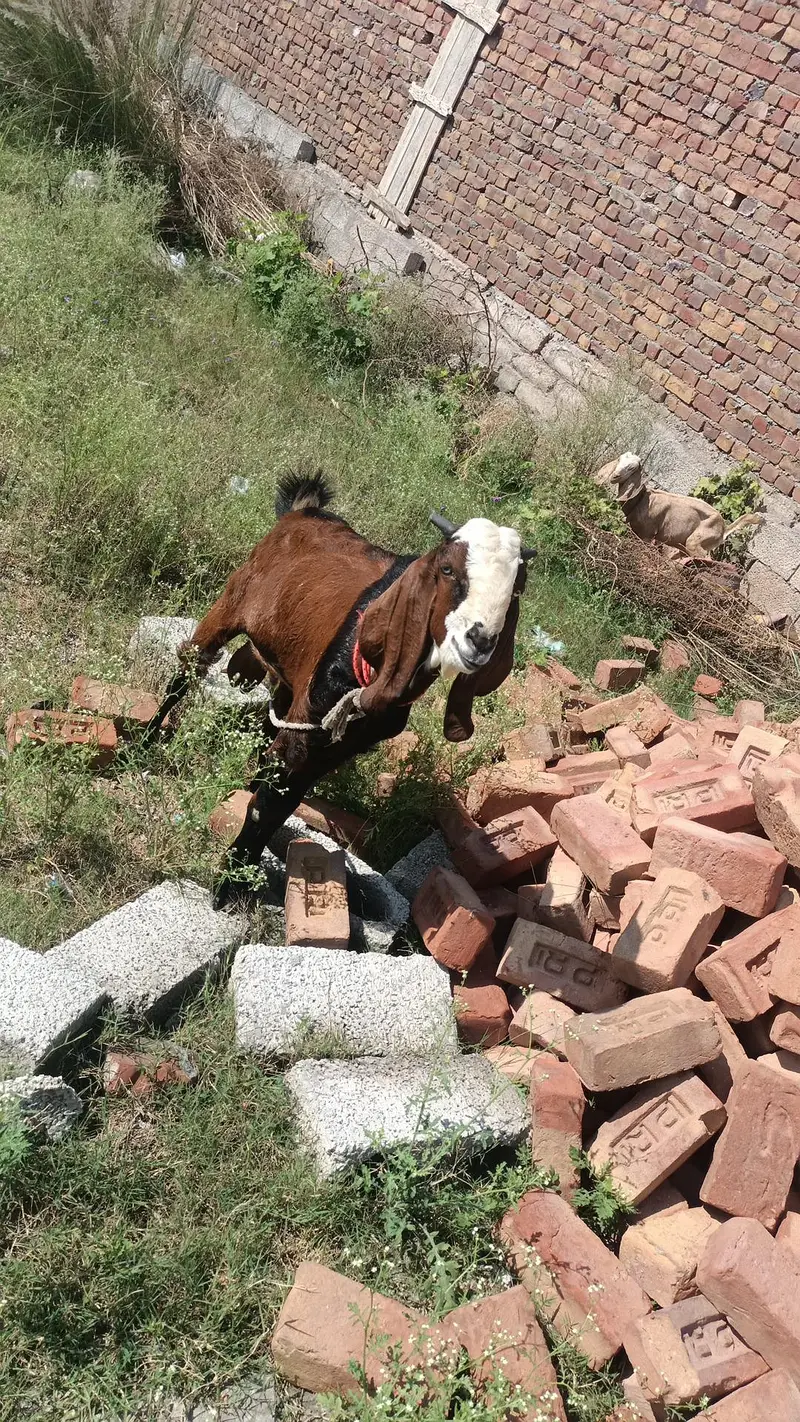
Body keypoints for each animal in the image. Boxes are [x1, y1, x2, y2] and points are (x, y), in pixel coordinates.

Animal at [146, 471, 534, 907]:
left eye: (516, 589)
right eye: (448, 569)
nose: (480, 641)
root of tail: (305, 511)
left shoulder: (338, 741)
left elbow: (283, 793)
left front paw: (243, 870)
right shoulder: (311, 721)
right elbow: (272, 801)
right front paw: (229, 882)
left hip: (288, 675)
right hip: (230, 603)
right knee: (189, 666)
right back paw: (145, 741)